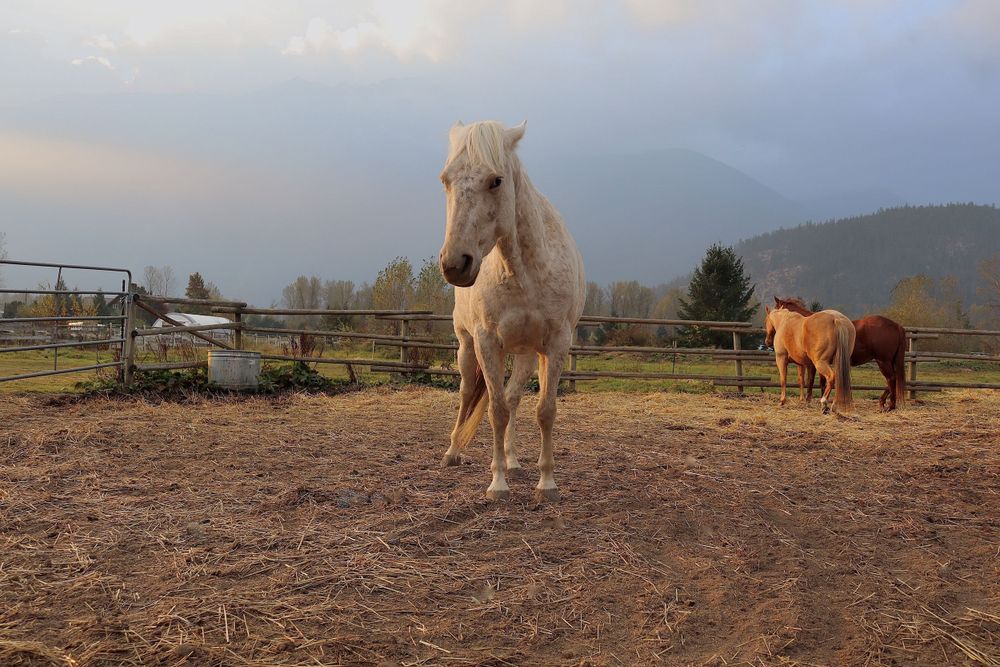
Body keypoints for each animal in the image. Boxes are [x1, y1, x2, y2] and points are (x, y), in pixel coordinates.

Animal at [437, 120, 586, 502]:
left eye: (496, 180)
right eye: (445, 179)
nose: (455, 264)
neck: (526, 272)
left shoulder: (555, 344)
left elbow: (544, 411)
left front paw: (546, 483)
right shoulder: (488, 342)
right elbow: (497, 411)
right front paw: (498, 483)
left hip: (525, 354)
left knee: (515, 397)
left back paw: (515, 460)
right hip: (467, 347)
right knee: (467, 393)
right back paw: (452, 452)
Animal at [774, 297, 906, 411]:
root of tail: (896, 326)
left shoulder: (814, 364)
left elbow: (813, 381)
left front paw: (813, 400)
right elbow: (822, 382)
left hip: (883, 361)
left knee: (891, 379)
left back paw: (890, 405)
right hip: (889, 362)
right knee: (892, 380)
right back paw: (883, 402)